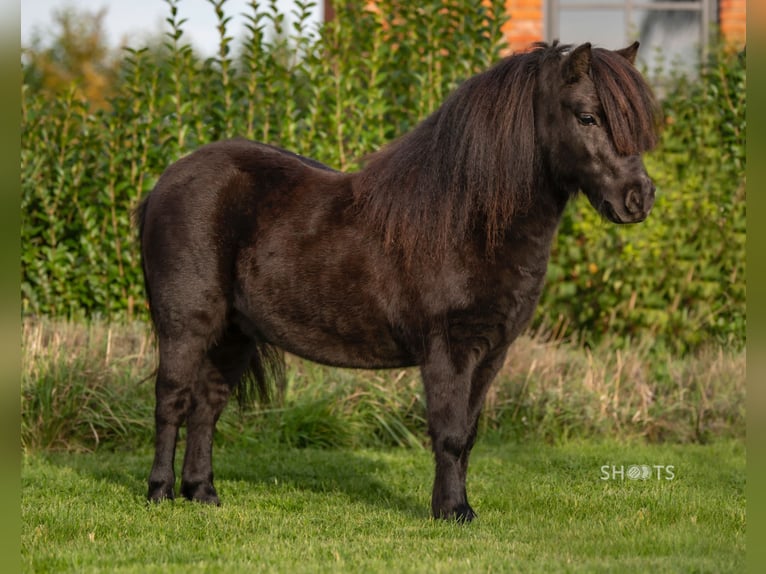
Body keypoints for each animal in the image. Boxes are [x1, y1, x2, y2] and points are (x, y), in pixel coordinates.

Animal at [136, 42, 660, 524]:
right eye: (588, 117)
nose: (639, 198)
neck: (466, 221)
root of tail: (166, 182)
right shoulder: (449, 350)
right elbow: (449, 433)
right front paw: (453, 511)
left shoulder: (492, 353)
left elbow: (469, 435)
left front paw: (456, 506)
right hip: (186, 326)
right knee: (172, 400)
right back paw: (160, 492)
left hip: (233, 333)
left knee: (207, 405)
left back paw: (203, 493)